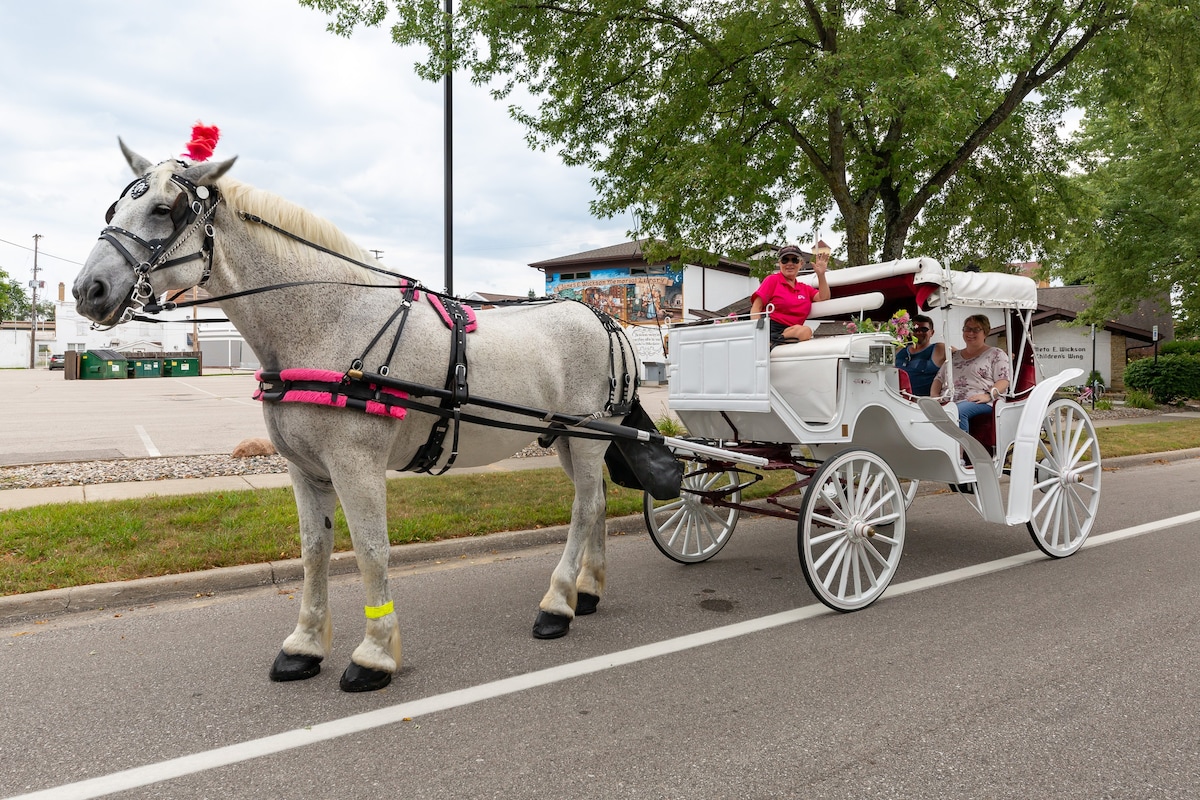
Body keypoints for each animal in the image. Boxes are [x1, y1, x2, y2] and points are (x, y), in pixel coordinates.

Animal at [75, 140, 652, 690]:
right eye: (114, 207)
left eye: (164, 209)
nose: (88, 289)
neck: (328, 320)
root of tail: (606, 320)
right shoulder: (305, 469)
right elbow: (314, 550)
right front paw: (304, 645)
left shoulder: (357, 463)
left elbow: (372, 549)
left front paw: (374, 655)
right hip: (566, 438)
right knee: (597, 502)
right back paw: (587, 591)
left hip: (585, 435)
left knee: (583, 508)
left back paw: (556, 603)